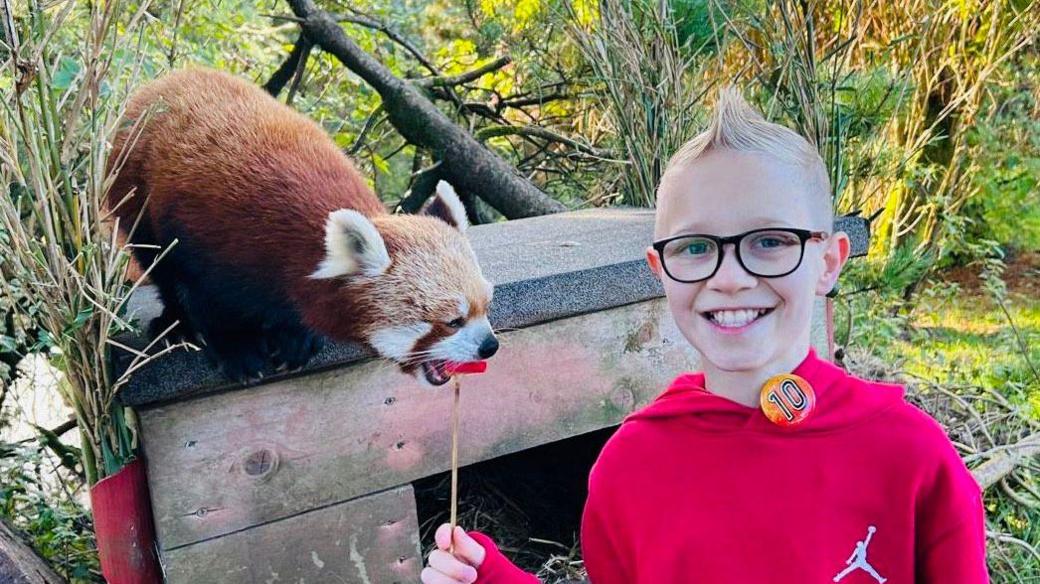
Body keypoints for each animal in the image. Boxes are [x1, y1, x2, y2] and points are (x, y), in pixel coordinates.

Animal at [107, 67, 497, 382]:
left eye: (486, 305)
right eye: (453, 321)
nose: (490, 346)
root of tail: (167, 80)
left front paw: (296, 338)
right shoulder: (207, 236)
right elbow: (202, 294)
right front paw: (237, 350)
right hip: (132, 187)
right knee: (156, 261)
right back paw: (175, 325)